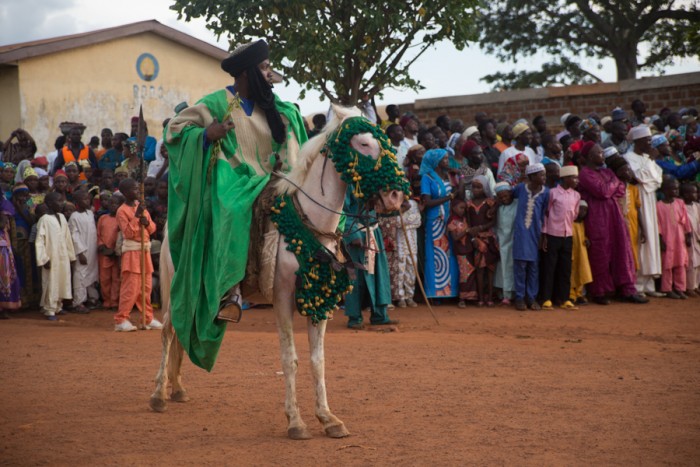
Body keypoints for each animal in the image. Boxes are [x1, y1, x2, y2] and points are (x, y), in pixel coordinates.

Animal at [150, 108, 408, 440]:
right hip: (178, 285)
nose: (395, 197)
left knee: (181, 331)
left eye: (385, 141)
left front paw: (328, 418)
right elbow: (290, 359)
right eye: (363, 144)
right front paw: (296, 421)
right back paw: (159, 395)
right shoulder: (283, 296)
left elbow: (317, 361)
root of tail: (171, 228)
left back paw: (178, 388)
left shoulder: (320, 299)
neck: (307, 222)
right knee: (169, 330)